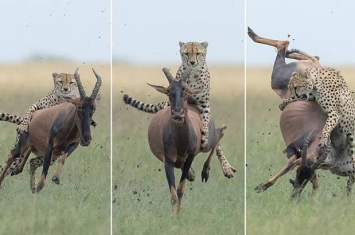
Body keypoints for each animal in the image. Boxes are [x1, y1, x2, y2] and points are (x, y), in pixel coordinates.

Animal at [148, 67, 227, 214]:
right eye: (169, 91)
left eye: (186, 91)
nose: (178, 114)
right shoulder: (168, 161)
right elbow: (173, 195)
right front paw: (175, 215)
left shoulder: (190, 157)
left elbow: (180, 191)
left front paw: (177, 215)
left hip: (206, 143)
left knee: (222, 130)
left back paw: (207, 171)